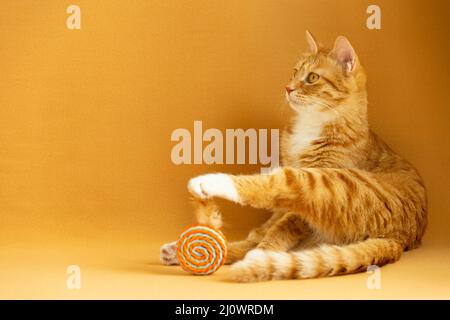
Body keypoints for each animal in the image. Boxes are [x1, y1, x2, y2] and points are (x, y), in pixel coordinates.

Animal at [160, 31, 428, 282]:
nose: (287, 88)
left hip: (329, 183)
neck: (312, 125)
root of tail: (400, 237)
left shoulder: (310, 191)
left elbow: (281, 227)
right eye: (295, 71)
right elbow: (269, 228)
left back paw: (211, 188)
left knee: (274, 186)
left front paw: (263, 252)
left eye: (312, 78)